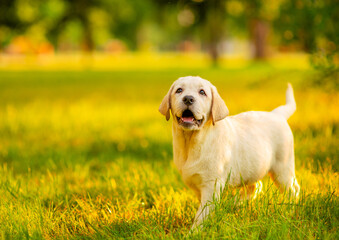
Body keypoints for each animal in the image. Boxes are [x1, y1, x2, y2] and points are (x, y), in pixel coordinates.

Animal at [159, 77, 300, 231]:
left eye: (202, 92)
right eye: (179, 90)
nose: (188, 99)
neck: (192, 142)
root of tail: (277, 114)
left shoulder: (211, 185)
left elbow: (202, 213)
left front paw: (194, 232)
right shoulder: (197, 185)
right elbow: (202, 209)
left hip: (282, 168)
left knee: (292, 189)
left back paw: (290, 211)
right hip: (253, 167)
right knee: (256, 187)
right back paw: (234, 204)